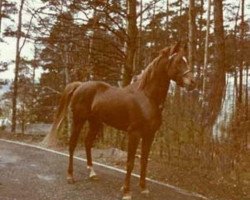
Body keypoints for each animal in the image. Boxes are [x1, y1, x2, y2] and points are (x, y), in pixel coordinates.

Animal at [42, 41, 195, 199]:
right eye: (178, 61)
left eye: (185, 60)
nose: (193, 83)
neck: (147, 97)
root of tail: (80, 85)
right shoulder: (134, 134)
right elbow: (130, 162)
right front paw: (127, 191)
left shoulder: (149, 135)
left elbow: (144, 161)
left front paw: (144, 188)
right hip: (79, 120)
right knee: (72, 145)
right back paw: (70, 177)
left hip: (95, 123)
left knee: (87, 143)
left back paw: (92, 174)